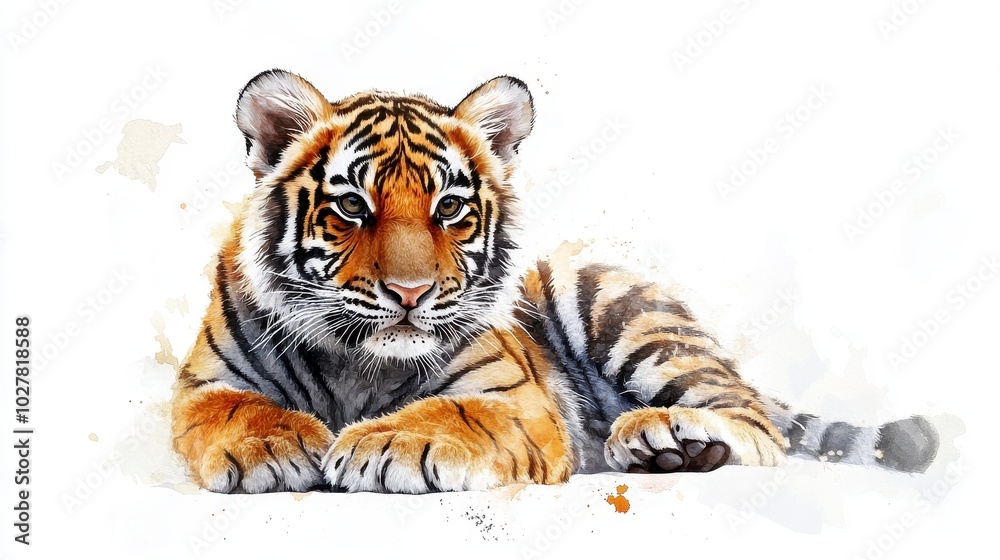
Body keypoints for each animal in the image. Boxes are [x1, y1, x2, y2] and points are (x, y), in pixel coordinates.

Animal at [170, 69, 940, 493]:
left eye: (449, 209)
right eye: (352, 207)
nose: (411, 295)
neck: (356, 363)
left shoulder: (516, 399)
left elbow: (452, 412)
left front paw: (382, 444)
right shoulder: (203, 385)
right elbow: (236, 408)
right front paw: (275, 446)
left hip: (624, 316)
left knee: (755, 421)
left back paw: (667, 435)